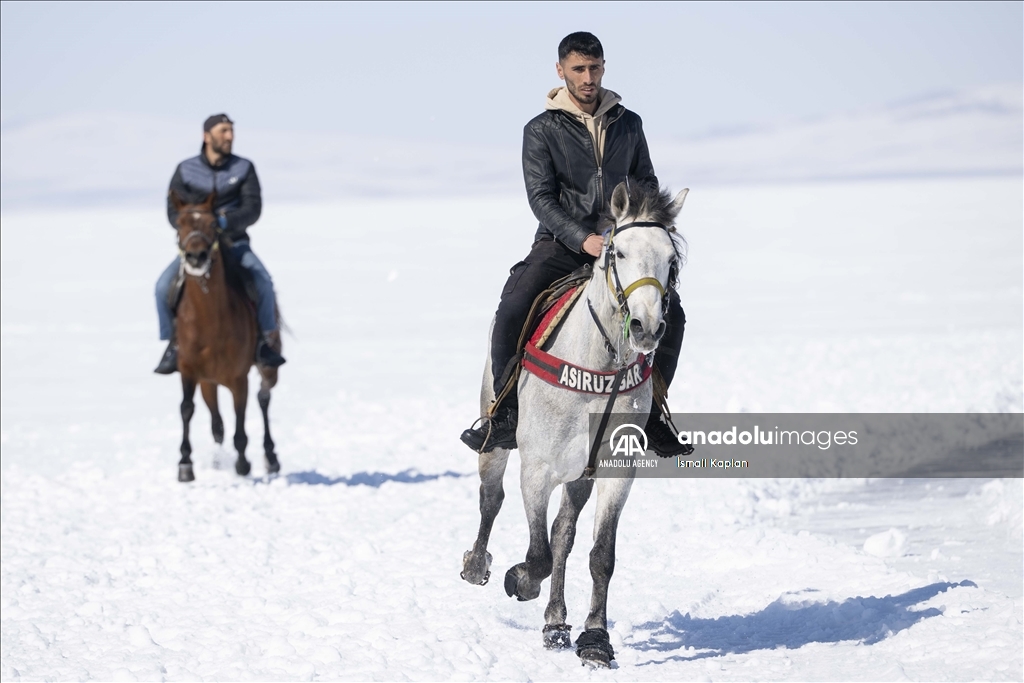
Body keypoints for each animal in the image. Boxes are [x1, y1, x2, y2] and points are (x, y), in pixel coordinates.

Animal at [169, 189, 280, 483]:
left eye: (212, 224)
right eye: (179, 225)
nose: (196, 256)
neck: (210, 322)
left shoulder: (239, 378)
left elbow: (240, 420)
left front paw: (243, 464)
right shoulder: (189, 371)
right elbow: (187, 409)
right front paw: (185, 465)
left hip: (268, 368)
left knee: (264, 399)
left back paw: (271, 458)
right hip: (208, 383)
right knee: (217, 423)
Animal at [462, 181, 688, 667]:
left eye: (671, 259)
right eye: (617, 251)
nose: (645, 328)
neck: (598, 365)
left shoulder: (616, 472)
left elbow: (598, 555)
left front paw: (595, 640)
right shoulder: (537, 470)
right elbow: (538, 554)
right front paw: (518, 579)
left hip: (580, 474)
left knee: (563, 533)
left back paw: (556, 626)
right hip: (495, 436)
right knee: (491, 498)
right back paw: (477, 564)